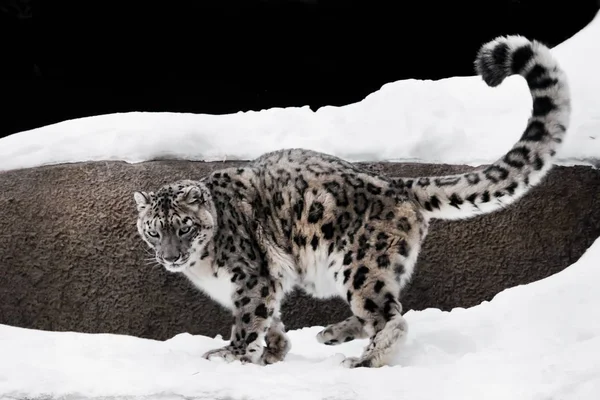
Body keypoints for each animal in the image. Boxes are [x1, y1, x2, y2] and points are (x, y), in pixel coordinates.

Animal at [132, 36, 572, 368]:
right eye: (154, 232)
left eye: (184, 227)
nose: (170, 257)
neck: (204, 267)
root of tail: (397, 185)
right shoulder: (267, 281)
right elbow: (271, 318)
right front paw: (274, 351)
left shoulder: (250, 278)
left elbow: (249, 316)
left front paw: (232, 354)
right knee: (380, 312)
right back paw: (332, 334)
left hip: (360, 266)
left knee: (390, 317)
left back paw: (364, 359)